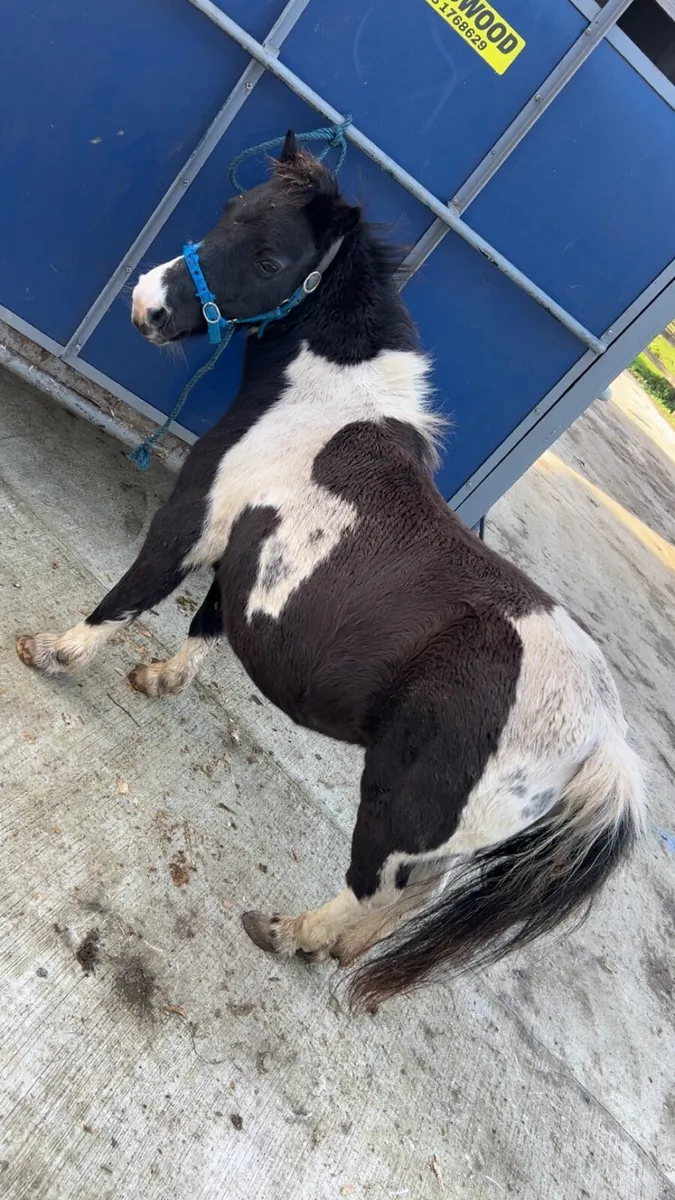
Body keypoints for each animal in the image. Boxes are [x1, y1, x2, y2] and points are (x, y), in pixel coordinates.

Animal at [16, 131, 645, 1010]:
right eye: (228, 210)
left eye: (271, 256)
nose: (147, 305)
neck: (321, 407)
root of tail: (602, 742)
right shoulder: (252, 556)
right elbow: (209, 622)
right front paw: (160, 680)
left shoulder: (192, 524)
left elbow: (129, 598)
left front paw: (53, 653)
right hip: (441, 844)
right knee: (408, 900)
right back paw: (336, 951)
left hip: (395, 814)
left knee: (372, 887)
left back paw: (287, 933)